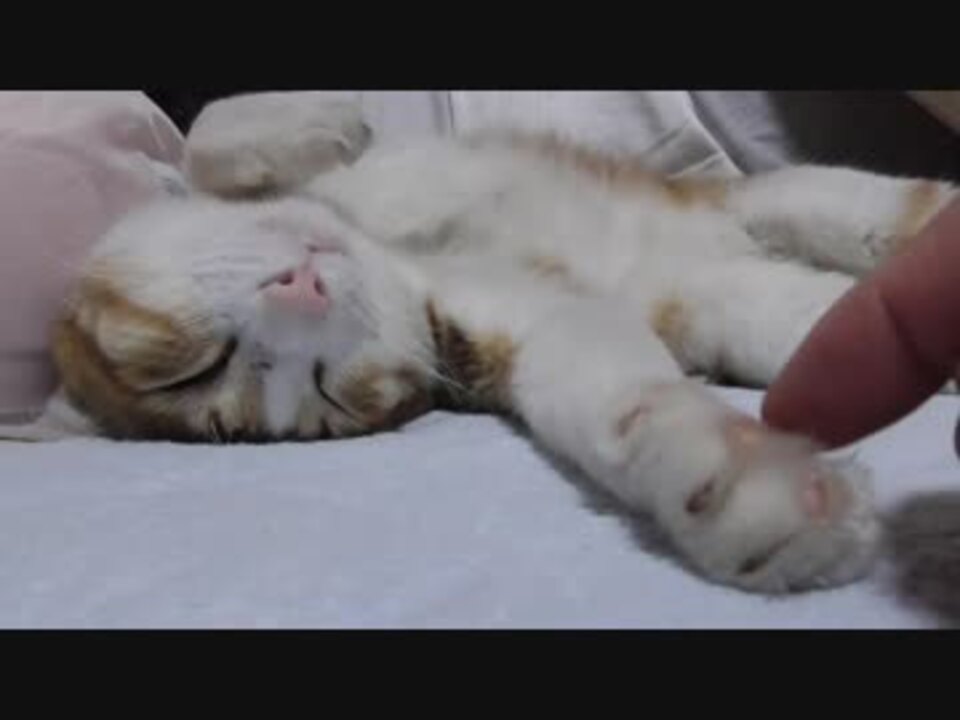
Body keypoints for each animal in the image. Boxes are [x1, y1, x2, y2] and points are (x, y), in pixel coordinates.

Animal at [4, 92, 957, 594]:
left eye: (191, 366)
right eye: (325, 391)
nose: (302, 297)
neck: (396, 251)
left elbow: (205, 138)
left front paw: (311, 121)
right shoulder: (535, 330)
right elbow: (617, 398)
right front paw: (733, 479)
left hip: (778, 203)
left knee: (876, 211)